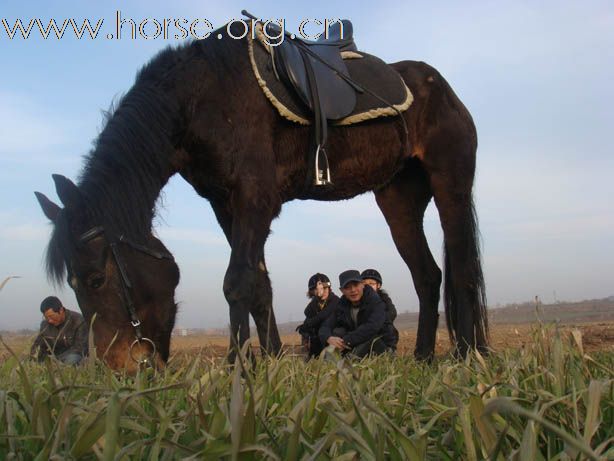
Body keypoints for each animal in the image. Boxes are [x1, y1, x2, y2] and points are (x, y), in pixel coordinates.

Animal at [35, 24, 490, 370]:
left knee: (464, 270)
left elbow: (237, 283)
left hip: (450, 186)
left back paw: (471, 355)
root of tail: (445, 91)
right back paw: (424, 357)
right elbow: (260, 287)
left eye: (96, 279)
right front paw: (271, 362)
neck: (201, 98)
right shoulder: (225, 207)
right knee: (428, 276)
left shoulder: (255, 200)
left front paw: (238, 366)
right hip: (398, 200)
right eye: (73, 284)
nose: (119, 368)